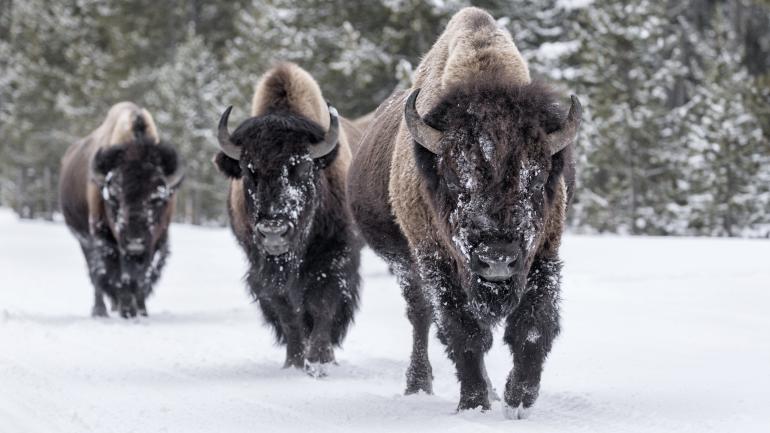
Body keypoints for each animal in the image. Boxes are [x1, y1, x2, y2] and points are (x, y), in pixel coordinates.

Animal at [59, 102, 184, 318]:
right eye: (114, 199)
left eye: (158, 199)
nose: (135, 242)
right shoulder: (104, 239)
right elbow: (117, 275)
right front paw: (127, 309)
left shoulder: (156, 241)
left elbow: (143, 276)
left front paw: (140, 311)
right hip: (83, 239)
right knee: (95, 274)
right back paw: (100, 310)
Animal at [214, 63, 362, 373]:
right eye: (248, 169)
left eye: (303, 166)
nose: (273, 231)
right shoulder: (262, 267)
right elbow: (287, 310)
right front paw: (293, 361)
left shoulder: (336, 257)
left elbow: (323, 303)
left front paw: (320, 359)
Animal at [348, 7, 581, 416]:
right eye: (456, 178)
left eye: (537, 179)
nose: (497, 258)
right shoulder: (437, 262)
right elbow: (463, 331)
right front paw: (473, 403)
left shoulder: (543, 255)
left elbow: (533, 327)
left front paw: (518, 398)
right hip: (405, 264)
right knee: (421, 316)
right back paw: (418, 384)